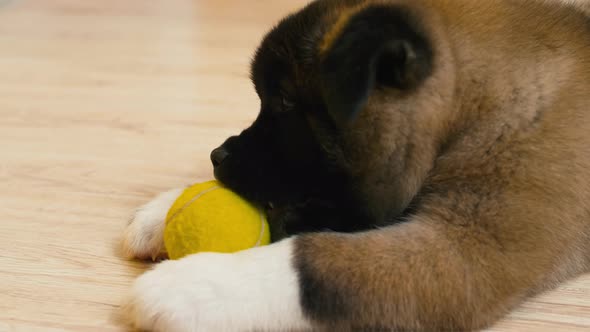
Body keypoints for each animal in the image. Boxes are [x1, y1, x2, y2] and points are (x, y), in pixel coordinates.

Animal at [122, 0, 588, 330]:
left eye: (284, 102)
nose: (217, 157)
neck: (474, 104)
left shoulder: (469, 251)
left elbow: (313, 265)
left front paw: (193, 288)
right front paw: (162, 212)